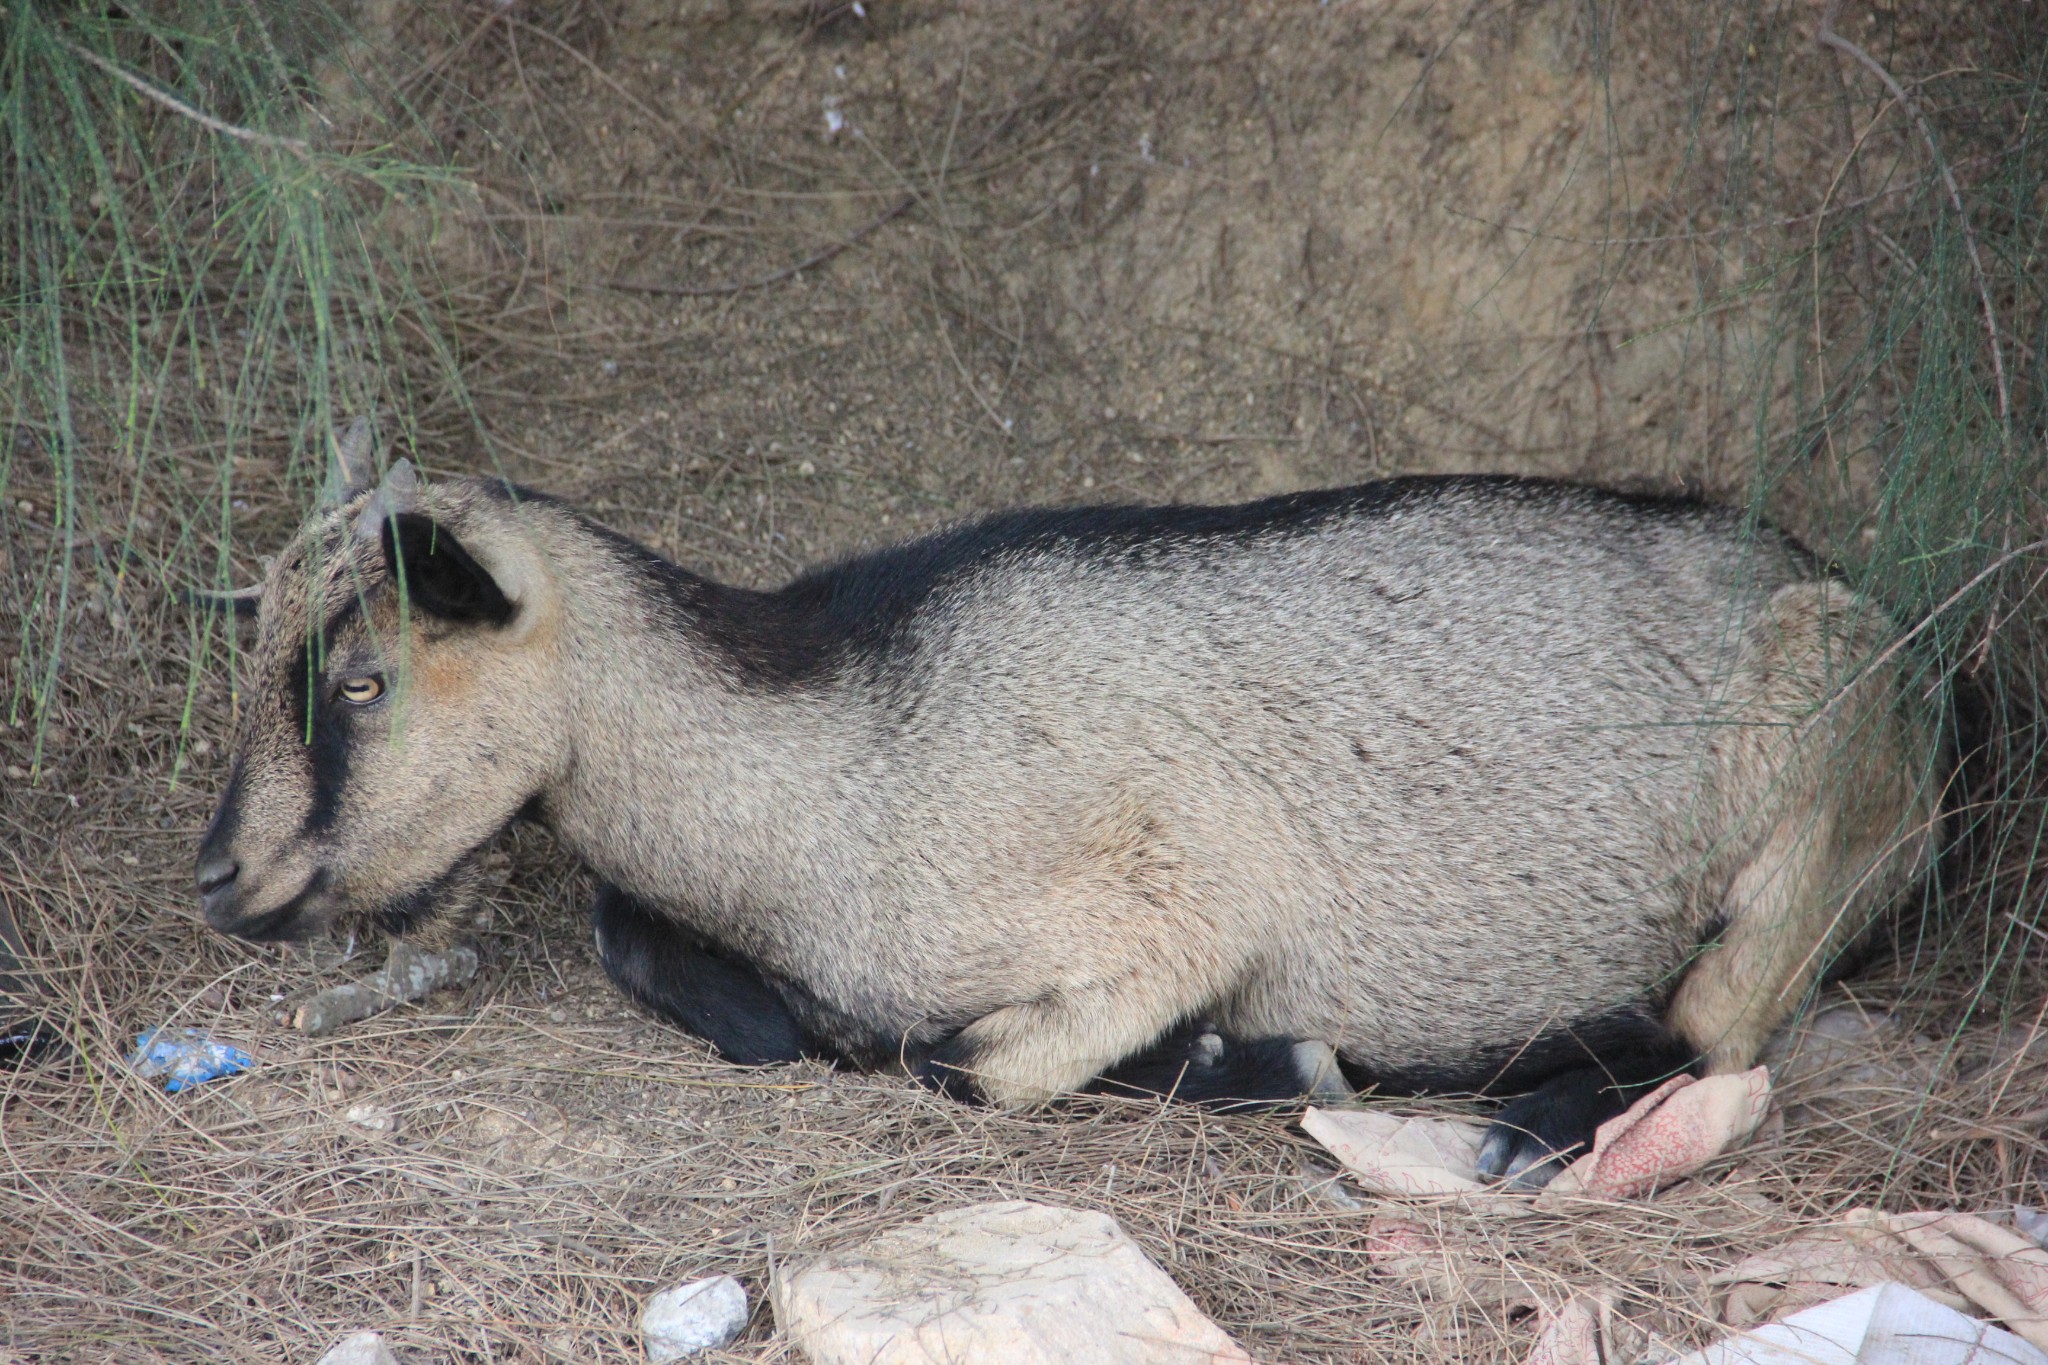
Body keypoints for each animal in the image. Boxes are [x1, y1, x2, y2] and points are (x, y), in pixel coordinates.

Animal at [192, 431, 1933, 1186]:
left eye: (363, 682)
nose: (217, 879)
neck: (847, 743)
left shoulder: (1171, 903)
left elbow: (972, 1065)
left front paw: (1266, 1059)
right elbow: (645, 937)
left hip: (1822, 795)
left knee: (1715, 1028)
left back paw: (1520, 1118)